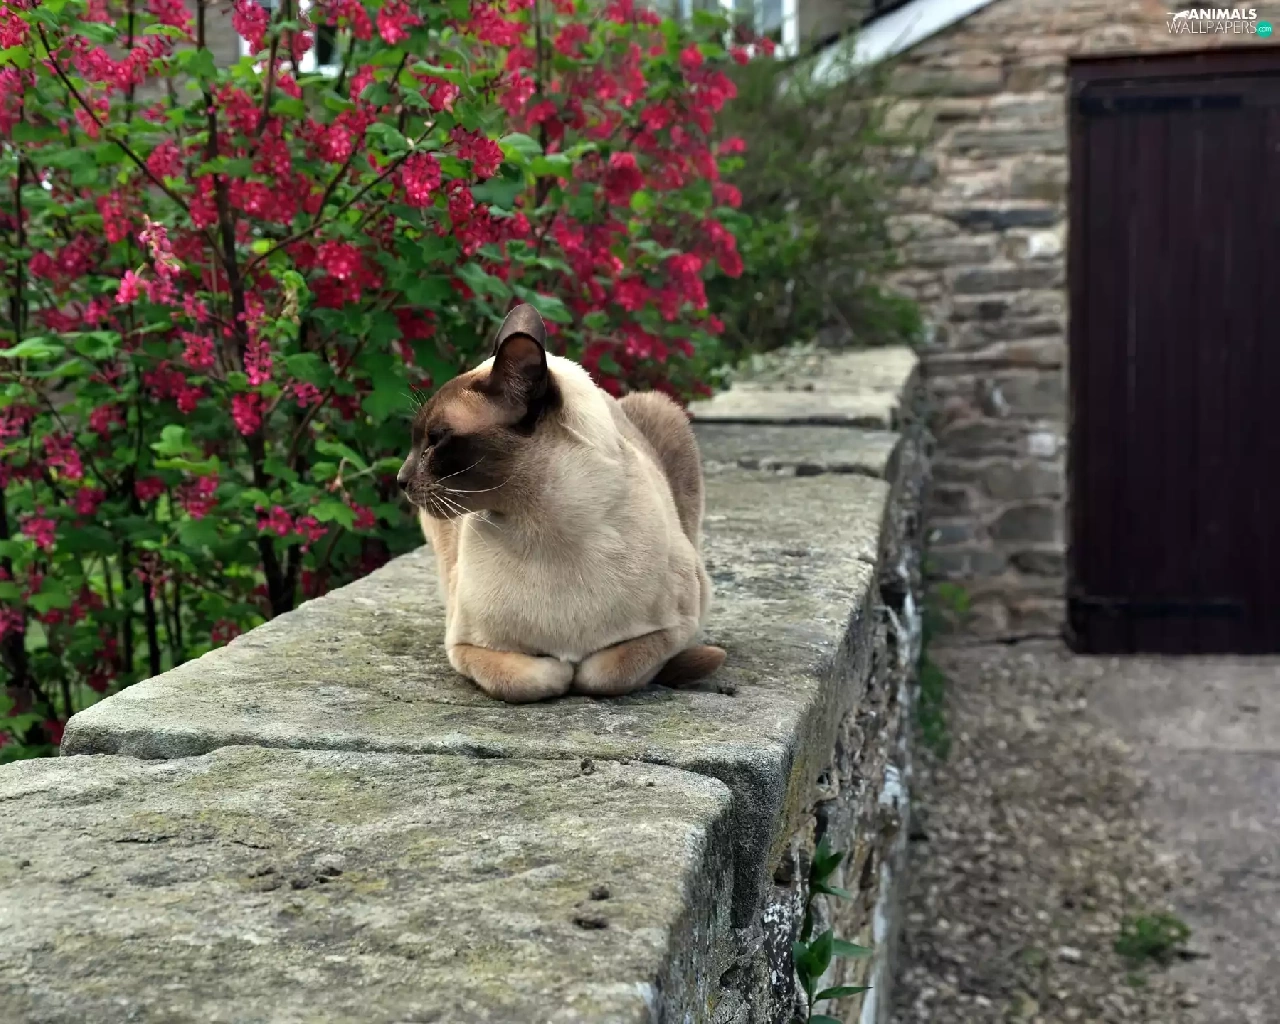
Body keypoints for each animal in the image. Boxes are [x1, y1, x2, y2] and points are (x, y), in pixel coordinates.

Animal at [396, 303, 725, 703]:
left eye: (437, 440)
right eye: (419, 441)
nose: (400, 480)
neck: (544, 531)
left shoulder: (676, 628)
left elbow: (603, 673)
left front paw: (577, 671)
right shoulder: (465, 647)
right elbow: (534, 679)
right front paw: (559, 669)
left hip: (664, 414)